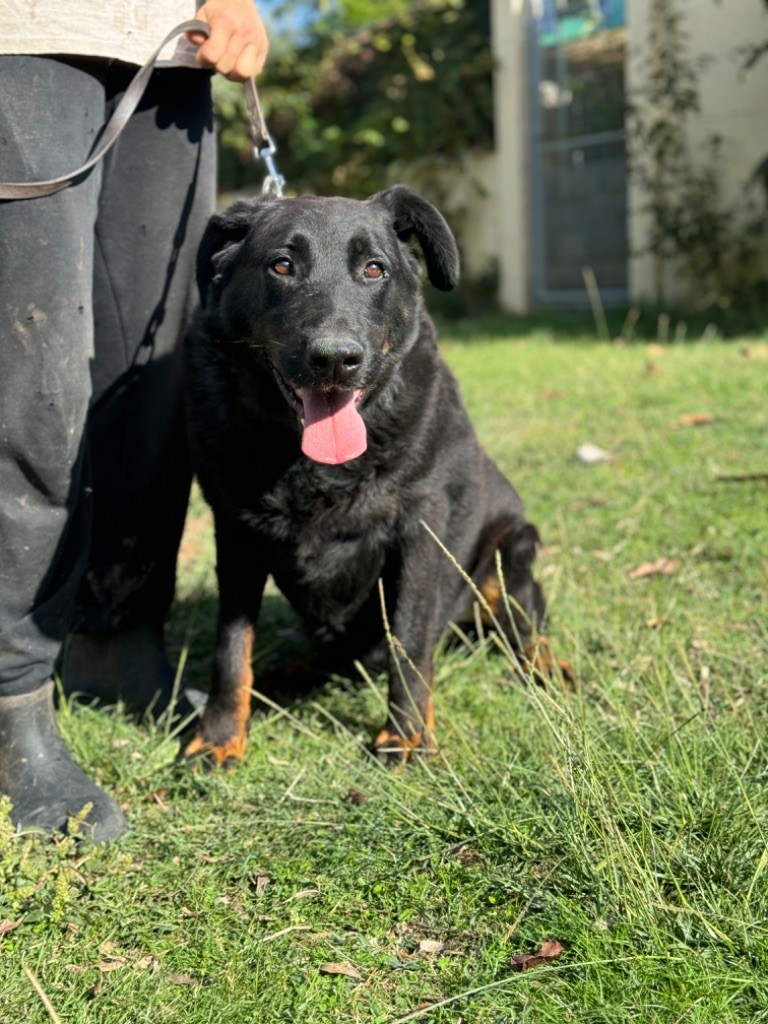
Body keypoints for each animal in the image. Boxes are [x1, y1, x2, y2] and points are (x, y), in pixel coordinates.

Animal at [185, 188, 573, 765]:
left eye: (374, 268)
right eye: (281, 265)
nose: (334, 359)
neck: (312, 464)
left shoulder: (419, 527)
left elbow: (409, 638)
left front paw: (406, 735)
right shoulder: (235, 532)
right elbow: (231, 648)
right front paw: (218, 737)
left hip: (509, 552)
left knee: (527, 626)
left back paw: (547, 667)